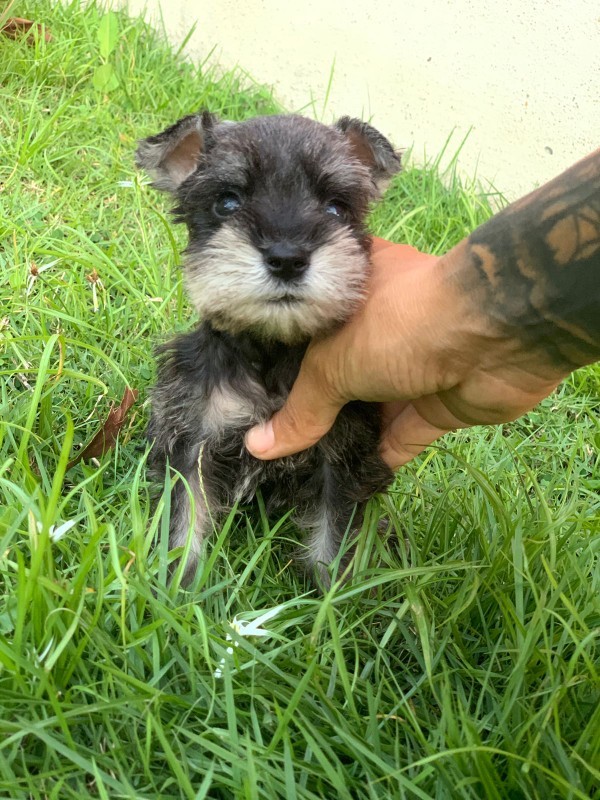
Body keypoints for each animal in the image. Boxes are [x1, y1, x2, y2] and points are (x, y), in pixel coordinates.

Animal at [136, 109, 398, 580]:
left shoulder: (342, 458)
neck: (271, 353)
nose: (287, 258)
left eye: (336, 208)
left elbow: (334, 540)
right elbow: (185, 526)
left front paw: (333, 595)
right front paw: (176, 587)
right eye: (227, 202)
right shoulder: (192, 441)